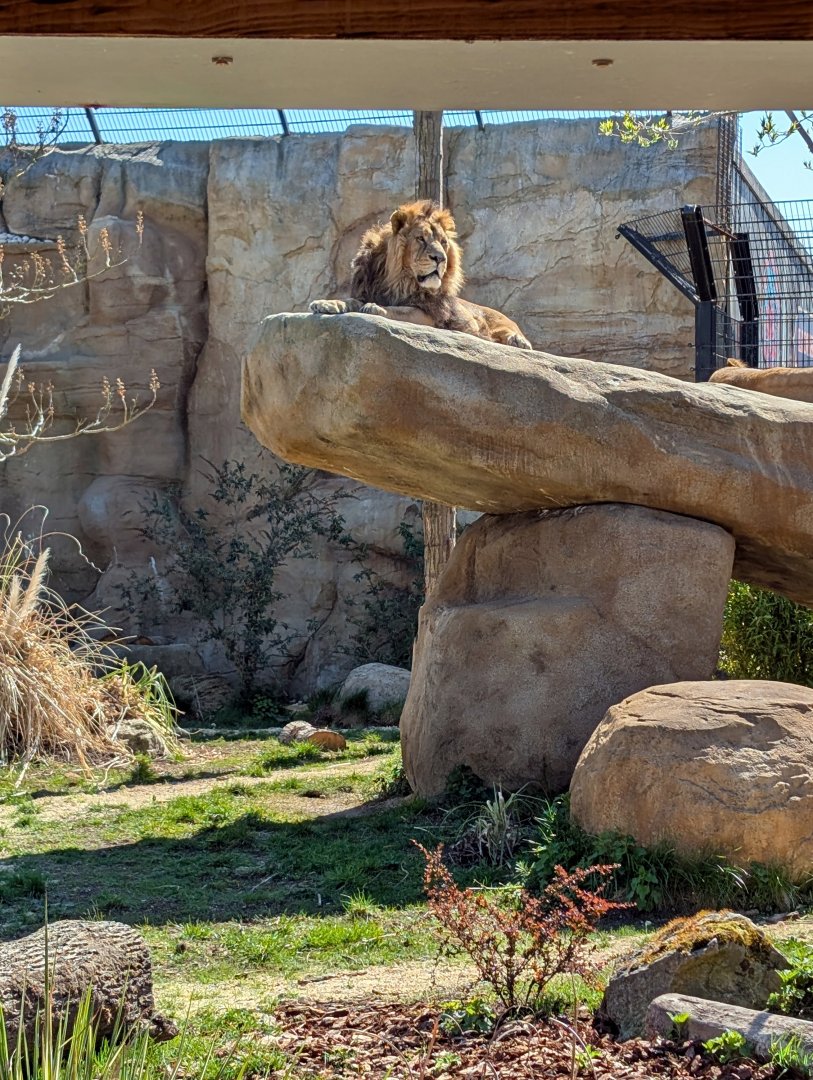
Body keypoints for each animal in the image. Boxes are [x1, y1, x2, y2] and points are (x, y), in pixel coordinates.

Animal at [309, 200, 532, 350]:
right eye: (421, 239)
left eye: (443, 242)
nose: (440, 258)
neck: (398, 280)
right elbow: (351, 300)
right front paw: (327, 303)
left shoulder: (431, 314)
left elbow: (403, 310)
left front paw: (376, 308)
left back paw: (517, 341)